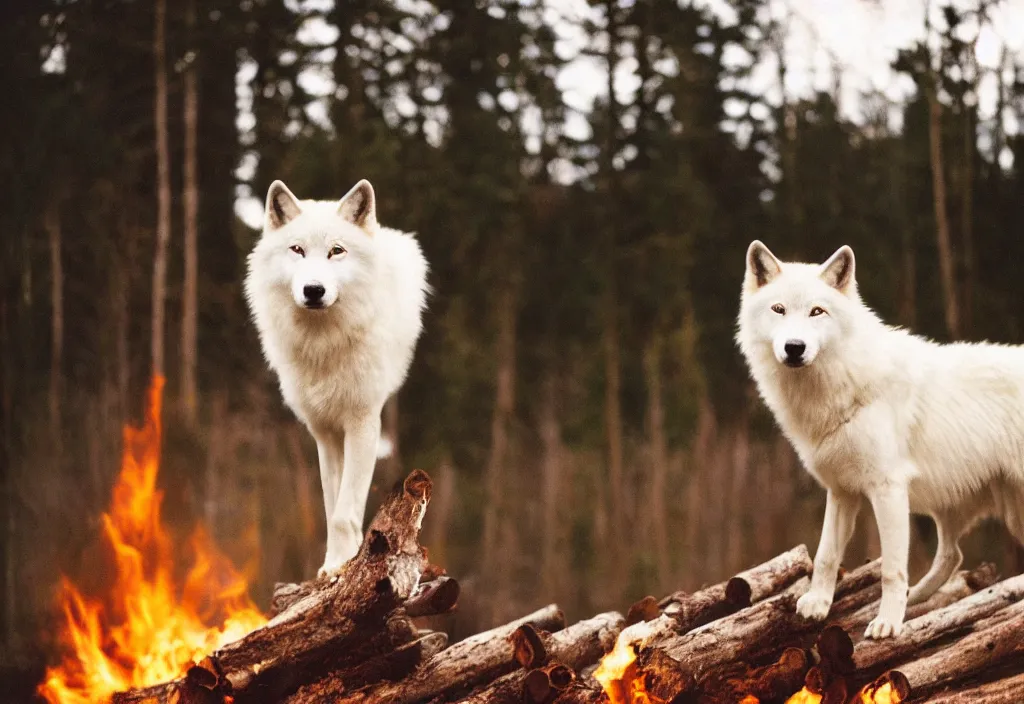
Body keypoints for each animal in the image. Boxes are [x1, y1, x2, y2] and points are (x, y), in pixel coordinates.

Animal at [244, 180, 428, 577]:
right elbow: (332, 509)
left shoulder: (362, 422)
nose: (314, 290)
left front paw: (344, 562)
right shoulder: (325, 432)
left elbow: (345, 510)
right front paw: (334, 563)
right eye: (297, 250)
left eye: (336, 252)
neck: (323, 342)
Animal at [737, 240, 1024, 638]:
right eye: (778, 309)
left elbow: (891, 568)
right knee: (952, 555)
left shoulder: (887, 489)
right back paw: (916, 597)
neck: (841, 386)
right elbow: (826, 554)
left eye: (816, 311)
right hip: (953, 509)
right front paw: (818, 605)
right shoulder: (842, 491)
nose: (794, 347)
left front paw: (887, 623)